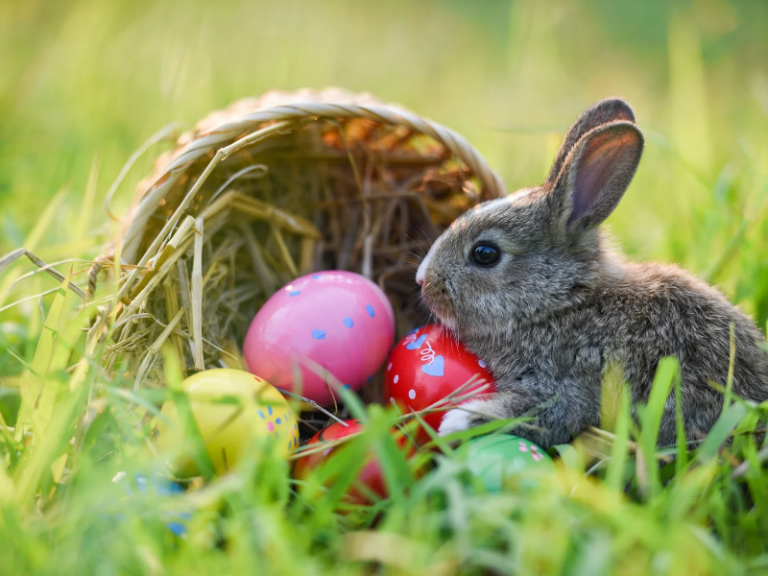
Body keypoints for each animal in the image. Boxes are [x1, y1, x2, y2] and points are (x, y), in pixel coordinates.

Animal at [415, 98, 768, 449]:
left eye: (485, 254)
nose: (423, 281)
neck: (562, 303)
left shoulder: (567, 386)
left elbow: (541, 413)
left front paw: (455, 423)